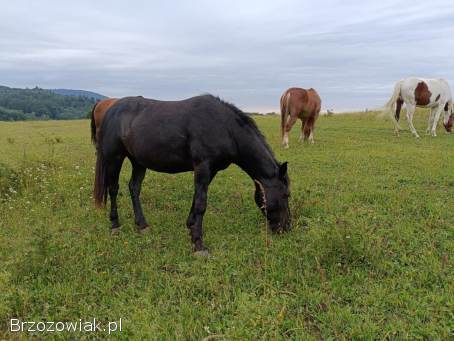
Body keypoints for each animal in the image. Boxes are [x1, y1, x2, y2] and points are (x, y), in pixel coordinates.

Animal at [93, 94, 290, 254]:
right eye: (286, 195)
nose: (286, 227)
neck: (224, 127)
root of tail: (111, 108)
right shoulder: (203, 167)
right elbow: (202, 204)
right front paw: (198, 244)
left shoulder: (210, 171)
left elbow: (196, 199)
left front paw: (190, 227)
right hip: (114, 158)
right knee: (113, 189)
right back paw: (115, 225)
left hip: (138, 162)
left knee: (134, 188)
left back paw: (142, 225)